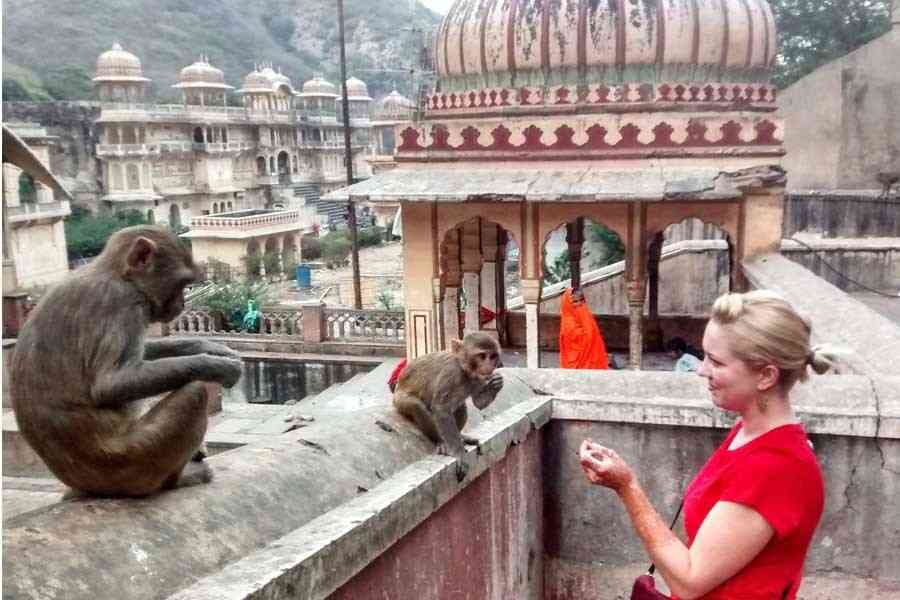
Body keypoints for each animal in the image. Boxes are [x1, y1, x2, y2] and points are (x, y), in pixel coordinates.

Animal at [11, 225, 243, 496]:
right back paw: (177, 479)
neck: (118, 274)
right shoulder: (123, 302)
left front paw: (207, 347)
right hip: (134, 460)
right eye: (183, 283)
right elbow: (111, 385)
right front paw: (217, 366)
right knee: (194, 393)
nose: (183, 304)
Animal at [394, 330, 506, 480]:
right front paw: (458, 453)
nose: (489, 365)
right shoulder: (450, 373)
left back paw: (461, 437)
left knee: (461, 406)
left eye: (493, 356)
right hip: (399, 399)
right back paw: (441, 441)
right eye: (482, 356)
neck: (464, 370)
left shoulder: (478, 378)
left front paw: (496, 384)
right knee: (416, 406)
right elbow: (441, 409)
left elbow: (478, 403)